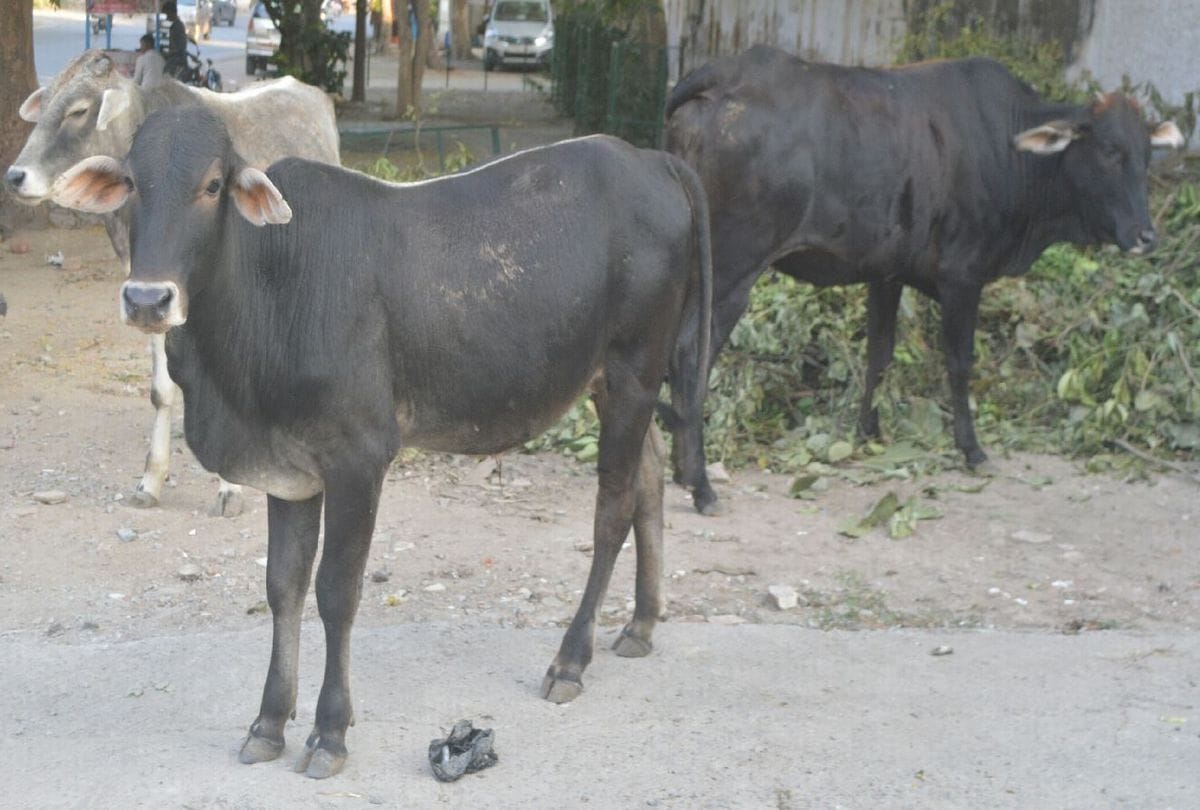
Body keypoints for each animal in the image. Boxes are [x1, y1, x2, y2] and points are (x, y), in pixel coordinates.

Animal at [4, 49, 340, 517]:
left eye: (79, 111)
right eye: (46, 101)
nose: (16, 177)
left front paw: (231, 486)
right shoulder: (149, 294)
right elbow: (161, 390)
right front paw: (151, 479)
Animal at [55, 106, 712, 778]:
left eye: (213, 185)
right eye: (132, 183)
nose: (147, 299)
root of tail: (650, 159)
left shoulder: (359, 458)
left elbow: (335, 592)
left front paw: (329, 731)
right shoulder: (290, 469)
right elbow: (283, 587)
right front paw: (269, 722)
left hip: (634, 370)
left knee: (614, 508)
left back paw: (571, 659)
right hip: (615, 384)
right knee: (650, 476)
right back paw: (640, 625)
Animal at [664, 46, 1184, 515]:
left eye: (1146, 155)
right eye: (1109, 152)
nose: (1146, 235)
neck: (1008, 148)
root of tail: (725, 74)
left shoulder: (886, 273)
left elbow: (879, 355)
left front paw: (869, 434)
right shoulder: (962, 275)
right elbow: (958, 362)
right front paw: (972, 449)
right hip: (732, 268)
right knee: (692, 354)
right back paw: (700, 484)